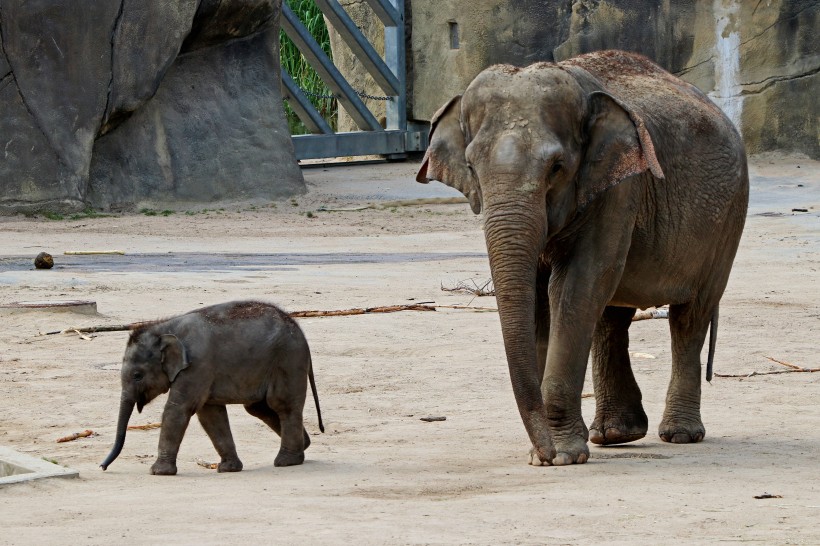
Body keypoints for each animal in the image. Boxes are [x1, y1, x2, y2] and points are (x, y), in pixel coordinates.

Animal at [99, 300, 324, 474]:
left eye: (137, 375)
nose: (102, 467)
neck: (165, 328)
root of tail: (298, 329)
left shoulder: (197, 366)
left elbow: (178, 409)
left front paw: (158, 472)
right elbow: (210, 414)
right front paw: (228, 468)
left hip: (288, 361)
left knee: (282, 405)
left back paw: (286, 461)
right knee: (258, 408)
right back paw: (304, 446)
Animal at [416, 51, 748, 466]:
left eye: (556, 168)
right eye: (472, 168)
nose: (543, 454)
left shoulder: (620, 187)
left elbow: (576, 284)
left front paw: (563, 455)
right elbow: (541, 294)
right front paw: (548, 452)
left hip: (728, 220)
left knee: (689, 315)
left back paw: (679, 435)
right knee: (611, 314)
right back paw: (615, 435)